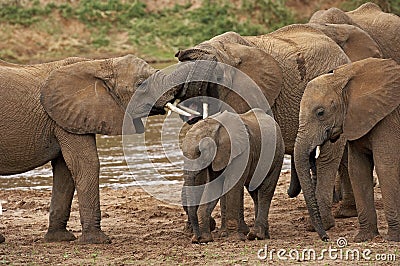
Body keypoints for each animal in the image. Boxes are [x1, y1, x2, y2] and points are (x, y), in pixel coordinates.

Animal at [0, 55, 164, 244]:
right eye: (140, 84)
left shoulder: (70, 118)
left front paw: (60, 239)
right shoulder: (65, 116)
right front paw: (98, 241)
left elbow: (65, 170)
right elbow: (86, 164)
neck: (97, 64)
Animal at [181, 108, 284, 243]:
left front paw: (233, 238)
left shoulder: (242, 152)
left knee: (265, 191)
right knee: (255, 192)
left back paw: (255, 235)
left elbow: (233, 185)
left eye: (200, 152)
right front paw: (205, 239)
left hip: (276, 155)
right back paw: (263, 235)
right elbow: (214, 186)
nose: (196, 239)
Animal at [294, 57, 400, 242]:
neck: (344, 77)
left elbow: (385, 167)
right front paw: (363, 238)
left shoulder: (387, 118)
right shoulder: (355, 119)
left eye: (320, 113)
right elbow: (357, 169)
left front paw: (393, 238)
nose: (326, 238)